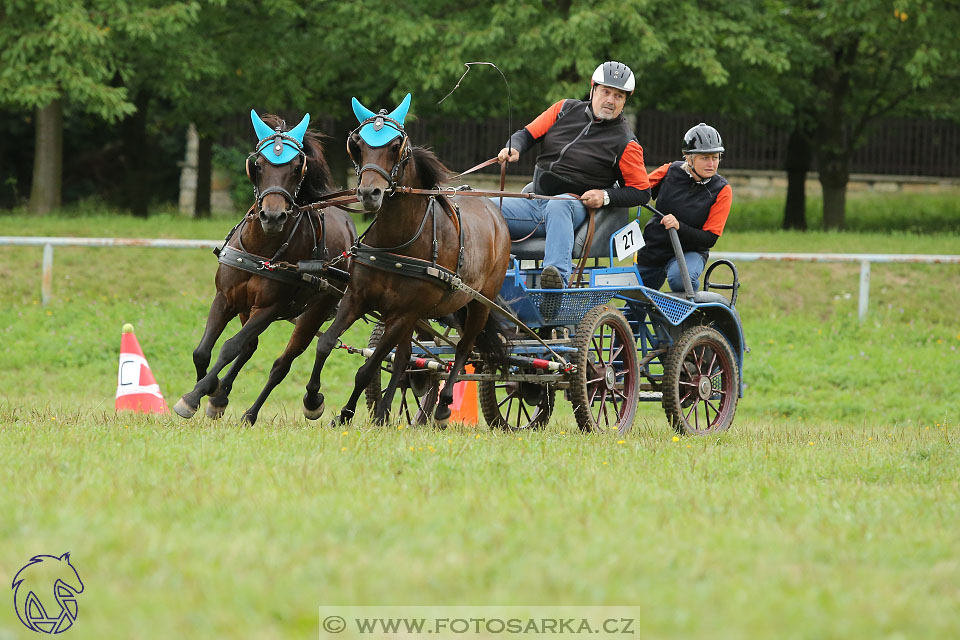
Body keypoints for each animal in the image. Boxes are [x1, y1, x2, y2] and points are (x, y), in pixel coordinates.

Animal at [173, 110, 356, 424]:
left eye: (296, 168)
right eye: (257, 165)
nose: (272, 216)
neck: (261, 248)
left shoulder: (270, 308)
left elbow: (230, 347)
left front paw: (195, 395)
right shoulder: (225, 298)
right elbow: (203, 352)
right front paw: (210, 390)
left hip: (316, 309)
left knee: (289, 360)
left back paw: (295, 403)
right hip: (247, 306)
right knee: (251, 347)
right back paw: (221, 397)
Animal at [302, 95, 510, 424]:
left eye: (394, 146)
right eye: (358, 145)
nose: (369, 193)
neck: (395, 243)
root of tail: (493, 210)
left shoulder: (401, 313)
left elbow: (367, 369)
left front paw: (346, 413)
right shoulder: (358, 297)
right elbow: (326, 344)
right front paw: (314, 401)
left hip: (479, 303)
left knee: (464, 348)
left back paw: (443, 404)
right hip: (418, 315)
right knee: (404, 359)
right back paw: (386, 410)